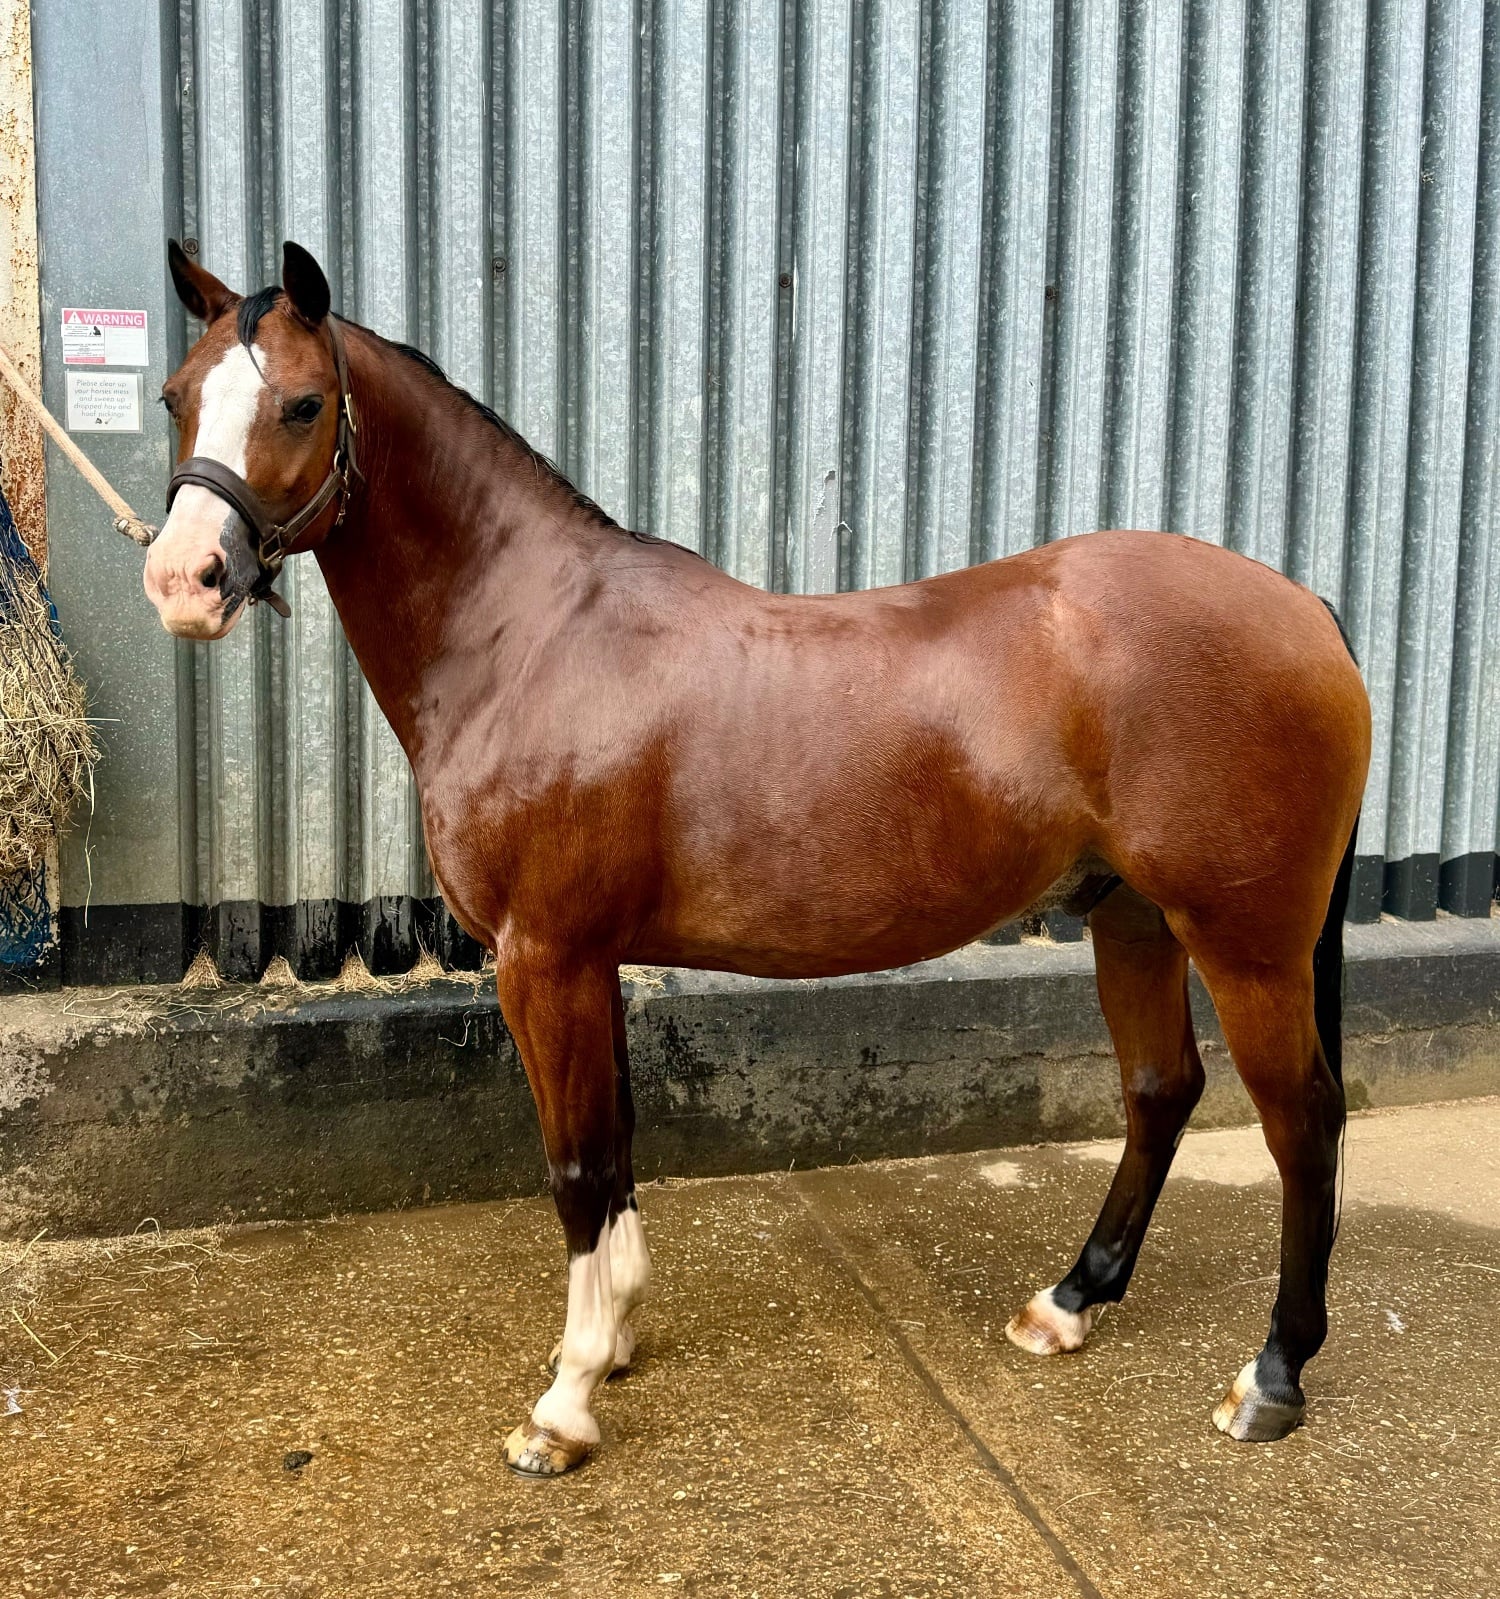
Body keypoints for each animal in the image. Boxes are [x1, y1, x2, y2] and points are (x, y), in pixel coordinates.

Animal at [143, 240, 1371, 1475]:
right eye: (176, 397)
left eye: (303, 403)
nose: (182, 580)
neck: (531, 638)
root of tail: (1305, 609)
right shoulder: (590, 963)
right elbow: (617, 1150)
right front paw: (616, 1340)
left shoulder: (545, 959)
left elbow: (577, 1168)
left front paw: (565, 1405)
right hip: (1131, 917)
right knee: (1161, 1091)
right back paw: (1068, 1304)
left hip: (1246, 945)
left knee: (1302, 1121)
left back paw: (1271, 1378)